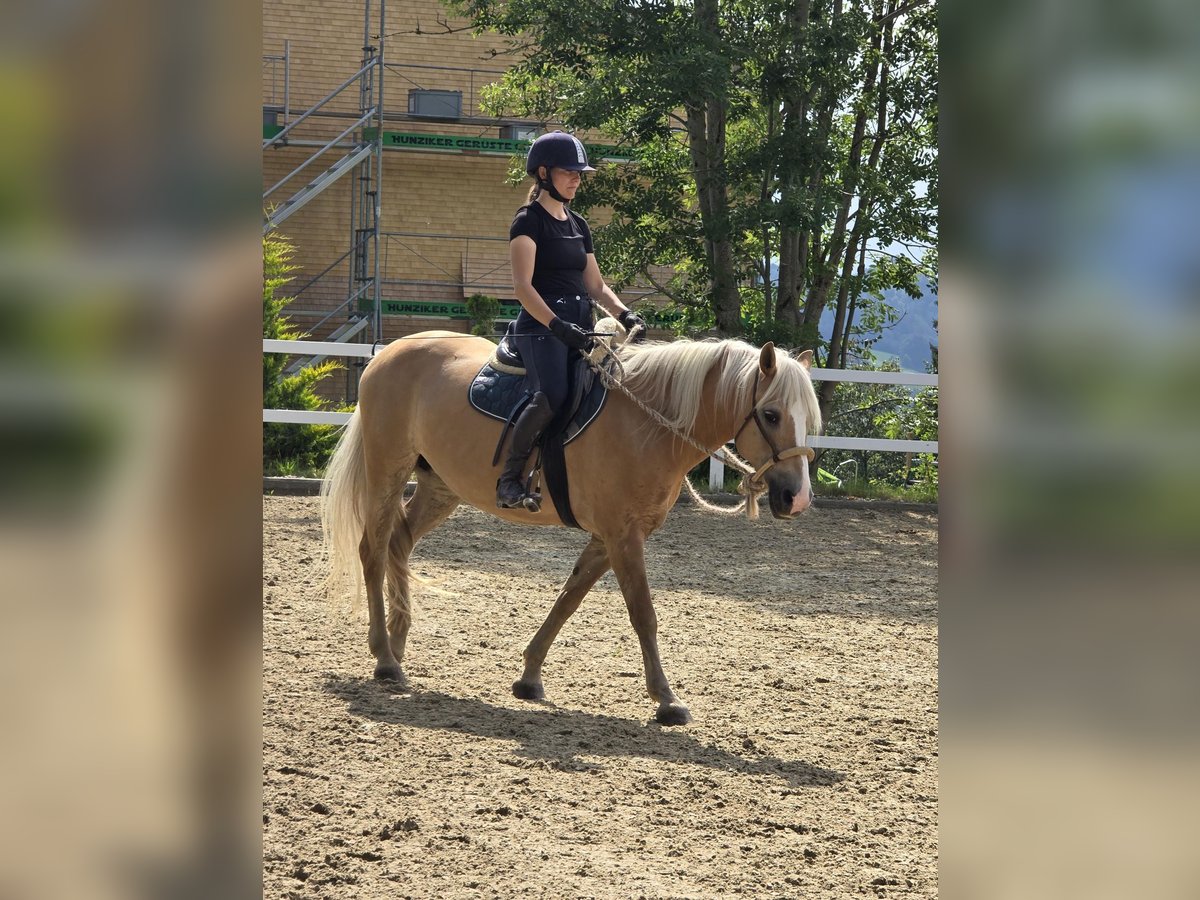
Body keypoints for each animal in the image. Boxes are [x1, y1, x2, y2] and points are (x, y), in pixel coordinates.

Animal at [324, 336, 820, 729]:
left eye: (806, 420)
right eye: (771, 414)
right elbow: (643, 614)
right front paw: (666, 700)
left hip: (440, 487)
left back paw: (398, 642)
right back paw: (384, 657)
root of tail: (389, 351)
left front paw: (529, 677)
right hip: (388, 470)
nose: (797, 497)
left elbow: (568, 600)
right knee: (373, 550)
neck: (648, 425)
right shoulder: (623, 537)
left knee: (400, 543)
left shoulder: (607, 539)